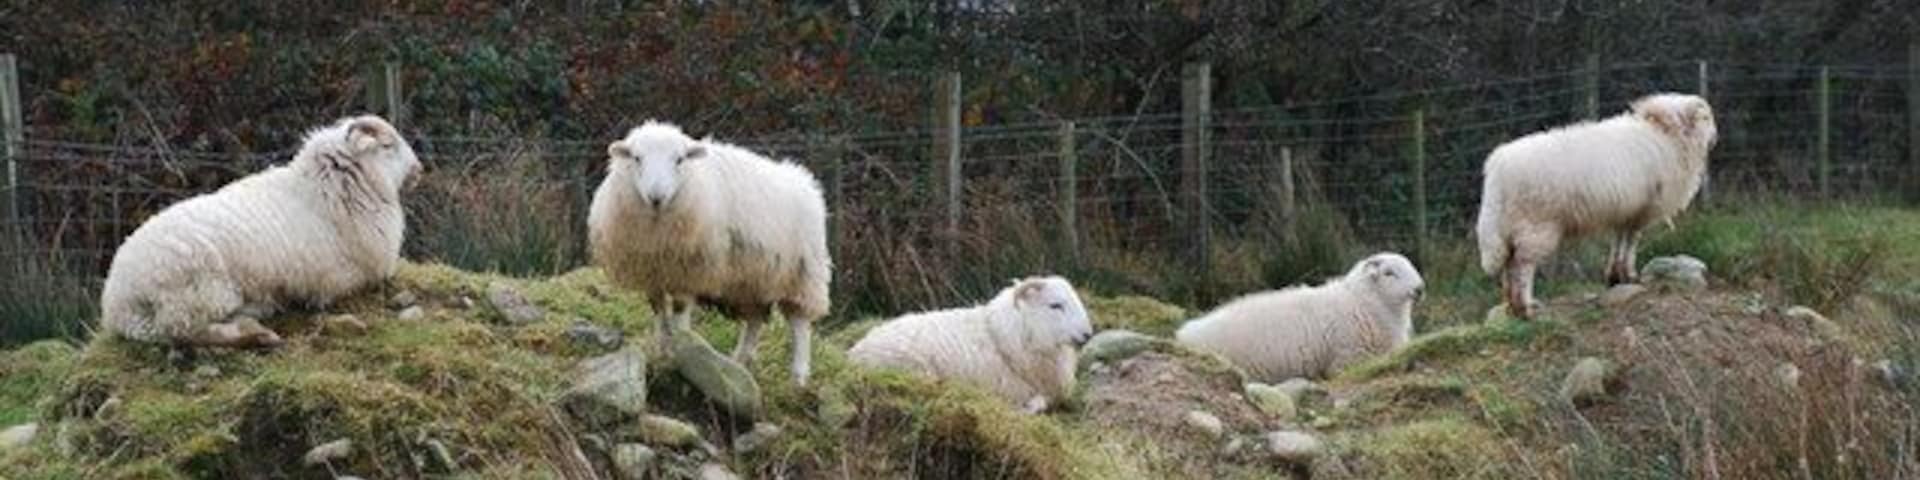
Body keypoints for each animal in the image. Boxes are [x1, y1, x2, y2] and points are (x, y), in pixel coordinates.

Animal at [100, 115, 421, 348]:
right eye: (388, 146)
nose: (420, 169)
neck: (326, 191)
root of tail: (118, 300)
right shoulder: (347, 277)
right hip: (198, 296)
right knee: (187, 332)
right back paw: (255, 334)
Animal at [588, 121, 831, 386]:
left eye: (680, 159)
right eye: (636, 158)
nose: (656, 198)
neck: (657, 229)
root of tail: (804, 181)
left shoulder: (687, 271)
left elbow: (680, 313)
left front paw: (681, 350)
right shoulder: (652, 273)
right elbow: (659, 312)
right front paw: (661, 350)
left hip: (802, 273)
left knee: (800, 323)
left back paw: (798, 376)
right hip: (750, 277)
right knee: (754, 319)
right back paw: (740, 360)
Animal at [1475, 93, 1717, 318]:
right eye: (1705, 117)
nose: (1715, 136)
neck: (1665, 135)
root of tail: (1497, 170)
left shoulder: (1627, 209)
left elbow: (1619, 241)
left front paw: (1616, 277)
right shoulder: (1643, 210)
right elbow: (1632, 241)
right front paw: (1630, 275)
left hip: (1509, 227)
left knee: (1508, 265)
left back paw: (1512, 307)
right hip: (1535, 226)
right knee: (1522, 266)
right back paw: (1525, 308)